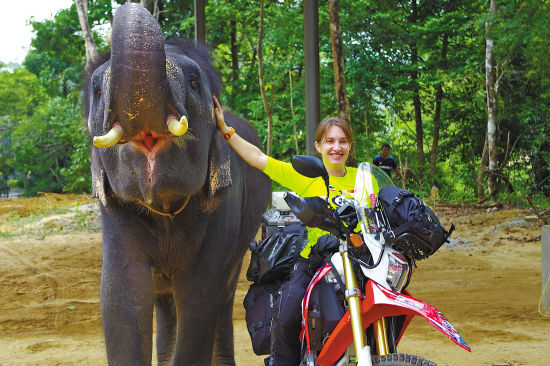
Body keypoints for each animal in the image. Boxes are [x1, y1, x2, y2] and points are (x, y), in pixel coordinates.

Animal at [82, 3, 272, 366]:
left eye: (195, 82)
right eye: (97, 91)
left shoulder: (225, 203)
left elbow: (199, 296)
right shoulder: (112, 211)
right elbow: (120, 294)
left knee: (223, 296)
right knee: (165, 301)